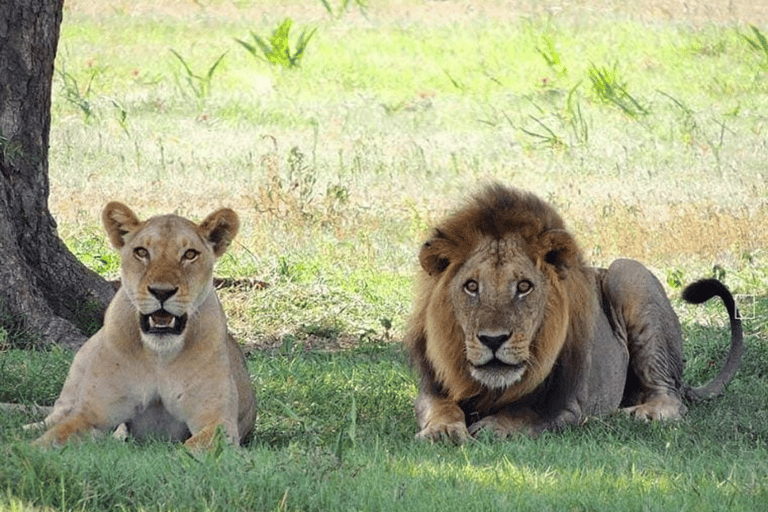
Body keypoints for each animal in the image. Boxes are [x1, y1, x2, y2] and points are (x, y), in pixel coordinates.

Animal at [33, 202, 256, 449]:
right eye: (142, 252)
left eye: (189, 254)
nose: (162, 292)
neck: (159, 356)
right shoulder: (91, 414)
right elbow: (51, 439)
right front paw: (25, 449)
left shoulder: (218, 422)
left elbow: (191, 448)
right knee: (56, 414)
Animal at [405, 183, 743, 442]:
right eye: (472, 286)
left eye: (524, 286)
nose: (493, 340)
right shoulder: (432, 388)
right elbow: (441, 408)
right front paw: (443, 430)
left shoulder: (571, 405)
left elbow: (527, 413)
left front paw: (494, 427)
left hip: (628, 273)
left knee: (671, 400)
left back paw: (635, 414)